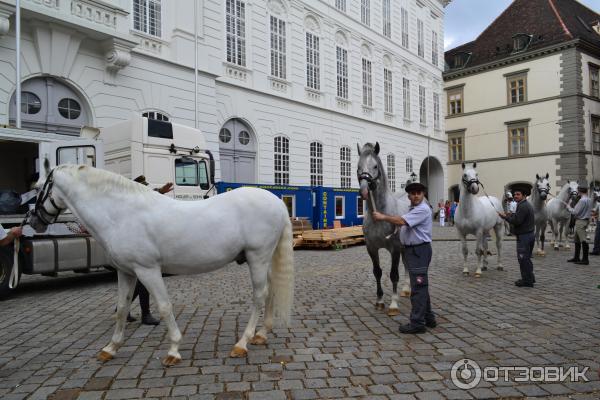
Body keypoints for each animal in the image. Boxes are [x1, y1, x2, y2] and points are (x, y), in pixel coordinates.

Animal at [29, 163, 294, 366]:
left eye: (39, 189)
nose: (34, 221)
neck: (122, 214)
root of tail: (277, 203)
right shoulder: (126, 272)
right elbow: (122, 308)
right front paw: (110, 348)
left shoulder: (147, 269)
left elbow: (164, 306)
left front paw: (174, 350)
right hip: (262, 259)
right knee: (270, 290)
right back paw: (261, 335)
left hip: (257, 257)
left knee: (259, 295)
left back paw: (242, 343)